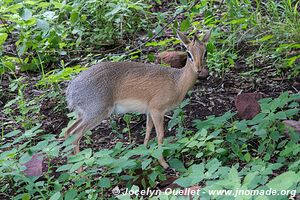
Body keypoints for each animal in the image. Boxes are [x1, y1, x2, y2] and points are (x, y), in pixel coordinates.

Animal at [65, 29, 211, 170]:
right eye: (188, 53)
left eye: (205, 52)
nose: (199, 69)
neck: (177, 83)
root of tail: (71, 90)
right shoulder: (157, 110)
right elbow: (160, 135)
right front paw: (163, 163)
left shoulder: (149, 112)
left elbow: (148, 131)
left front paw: (143, 154)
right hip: (97, 113)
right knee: (75, 134)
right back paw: (80, 173)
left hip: (83, 114)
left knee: (68, 131)